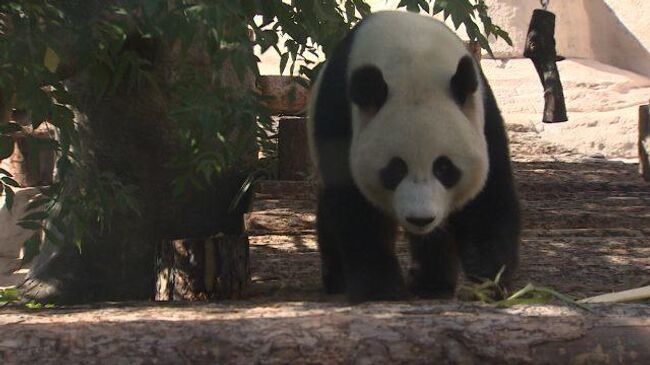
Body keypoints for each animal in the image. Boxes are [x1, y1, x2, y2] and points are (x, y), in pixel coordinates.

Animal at [306, 10, 520, 302]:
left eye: (444, 168)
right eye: (395, 169)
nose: (420, 219)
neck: (413, 56)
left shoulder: (482, 116)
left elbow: (486, 202)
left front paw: (492, 284)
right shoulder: (339, 117)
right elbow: (355, 209)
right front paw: (381, 290)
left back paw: (432, 284)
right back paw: (336, 280)